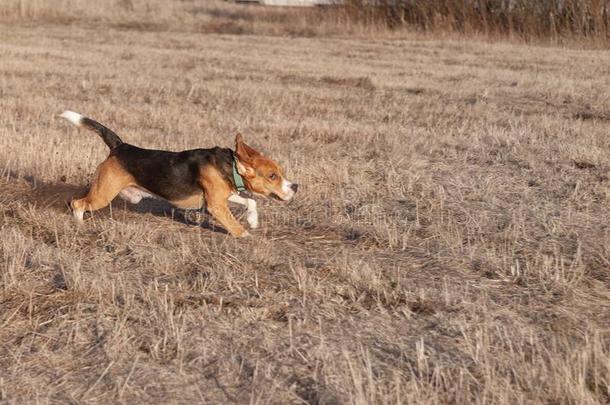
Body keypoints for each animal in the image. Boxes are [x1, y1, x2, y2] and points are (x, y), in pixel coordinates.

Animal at [58, 110, 296, 237]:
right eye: (273, 176)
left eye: (281, 173)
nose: (295, 186)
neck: (231, 167)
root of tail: (120, 146)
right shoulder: (216, 205)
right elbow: (233, 221)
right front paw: (246, 234)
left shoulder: (221, 196)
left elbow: (250, 201)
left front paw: (253, 221)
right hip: (102, 194)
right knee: (77, 203)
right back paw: (79, 225)